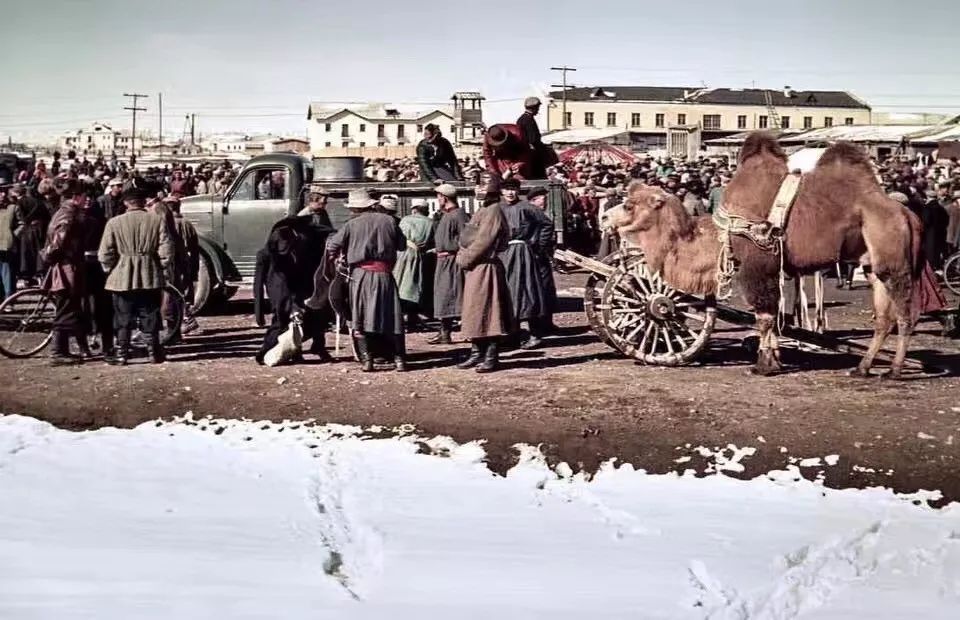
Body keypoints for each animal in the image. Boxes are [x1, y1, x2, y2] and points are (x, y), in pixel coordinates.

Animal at [604, 133, 928, 378]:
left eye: (630, 205)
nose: (605, 218)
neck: (717, 235)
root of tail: (907, 213)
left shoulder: (757, 264)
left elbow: (764, 317)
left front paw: (764, 365)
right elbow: (770, 316)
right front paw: (774, 359)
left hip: (894, 260)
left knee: (905, 313)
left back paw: (894, 370)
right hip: (873, 265)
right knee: (883, 317)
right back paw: (862, 368)